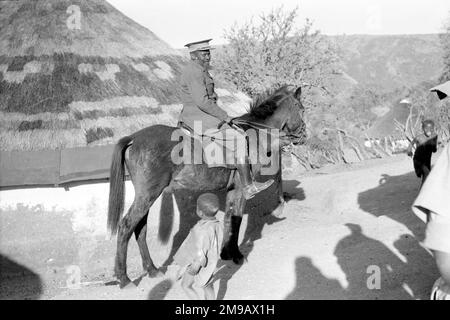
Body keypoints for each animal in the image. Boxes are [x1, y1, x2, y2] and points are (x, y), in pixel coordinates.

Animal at [107, 84, 304, 288]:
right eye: (300, 108)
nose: (303, 135)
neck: (254, 135)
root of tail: (133, 138)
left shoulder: (232, 189)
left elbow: (229, 219)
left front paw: (226, 253)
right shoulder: (241, 189)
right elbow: (237, 219)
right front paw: (237, 255)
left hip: (146, 195)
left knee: (140, 228)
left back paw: (152, 270)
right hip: (148, 194)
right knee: (126, 225)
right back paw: (124, 278)